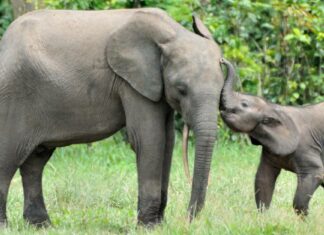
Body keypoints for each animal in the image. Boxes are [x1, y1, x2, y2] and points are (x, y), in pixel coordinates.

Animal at [0, 8, 223, 227]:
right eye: (181, 89)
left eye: (222, 89)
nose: (188, 219)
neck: (173, 34)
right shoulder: (131, 83)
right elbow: (149, 139)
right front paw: (148, 227)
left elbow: (167, 141)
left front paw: (159, 225)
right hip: (13, 97)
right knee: (9, 158)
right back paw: (7, 226)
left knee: (35, 162)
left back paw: (41, 225)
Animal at [219, 58, 322, 215]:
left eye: (244, 104)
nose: (222, 60)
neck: (274, 108)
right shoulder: (271, 148)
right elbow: (263, 178)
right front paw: (263, 217)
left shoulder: (307, 148)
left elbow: (314, 174)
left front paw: (304, 219)